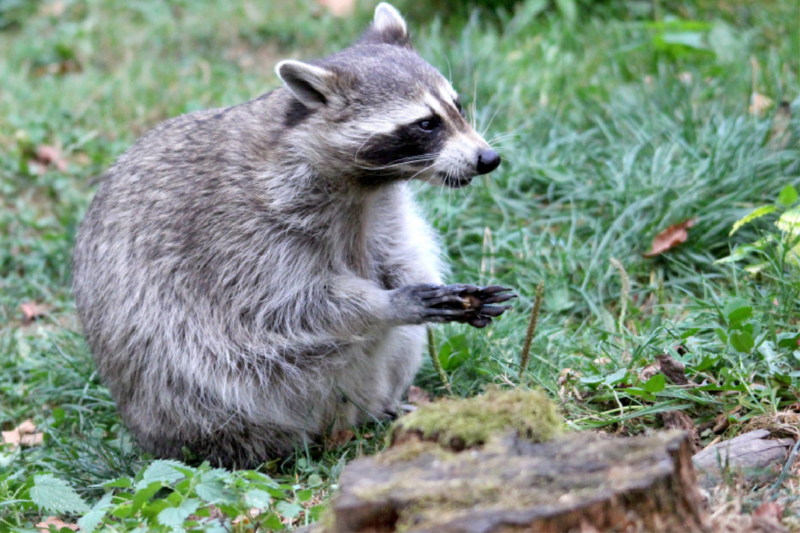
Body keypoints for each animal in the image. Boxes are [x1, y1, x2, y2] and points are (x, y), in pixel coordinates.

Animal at [75, 2, 512, 466]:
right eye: (426, 123)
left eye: (457, 106)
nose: (488, 158)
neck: (363, 187)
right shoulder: (245, 235)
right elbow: (293, 306)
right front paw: (387, 303)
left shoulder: (384, 213)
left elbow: (400, 255)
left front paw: (424, 285)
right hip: (185, 397)